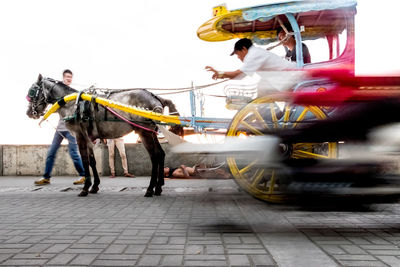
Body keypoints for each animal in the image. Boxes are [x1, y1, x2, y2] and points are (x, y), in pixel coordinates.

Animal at [26, 74, 184, 198]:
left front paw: (85, 188)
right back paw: (158, 187)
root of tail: (155, 97)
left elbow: (85, 161)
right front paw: (94, 186)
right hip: (151, 132)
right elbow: (92, 161)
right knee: (161, 154)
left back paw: (150, 189)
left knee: (154, 157)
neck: (72, 103)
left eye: (32, 91)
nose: (29, 112)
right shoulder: (89, 138)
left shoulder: (79, 136)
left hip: (144, 132)